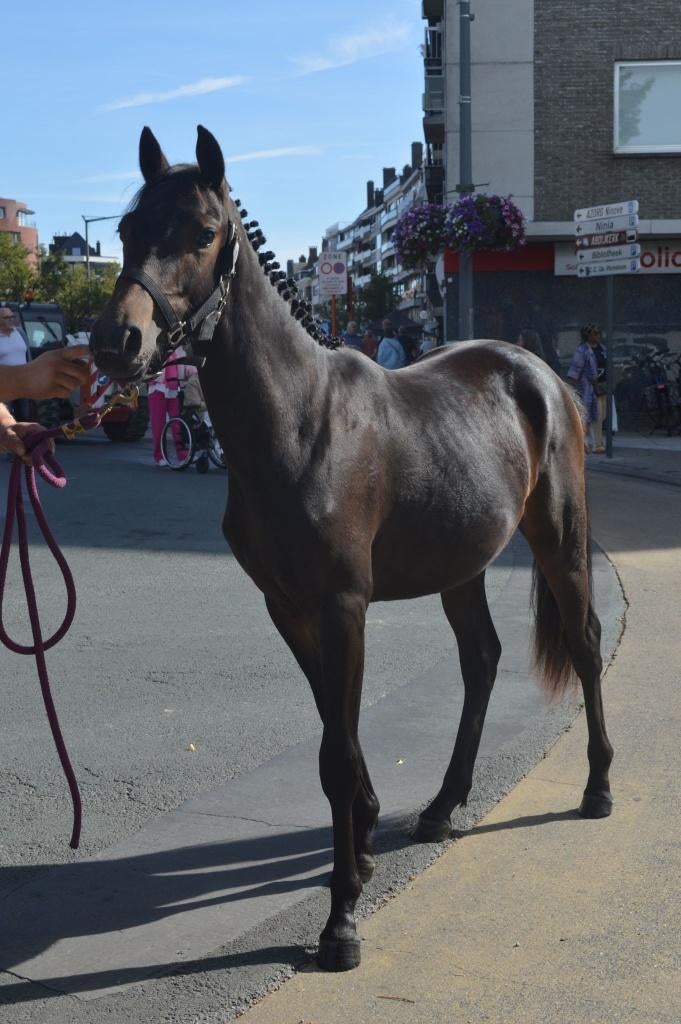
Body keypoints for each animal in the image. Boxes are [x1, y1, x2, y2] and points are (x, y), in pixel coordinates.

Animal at [90, 126, 613, 972]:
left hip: (558, 540)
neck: (297, 421)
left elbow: (337, 754)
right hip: (460, 564)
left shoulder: (343, 607)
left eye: (201, 233)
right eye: (129, 229)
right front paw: (362, 848)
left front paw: (340, 920)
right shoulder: (290, 608)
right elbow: (336, 740)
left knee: (585, 644)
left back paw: (596, 788)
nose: (115, 341)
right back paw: (441, 805)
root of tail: (536, 371)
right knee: (481, 659)